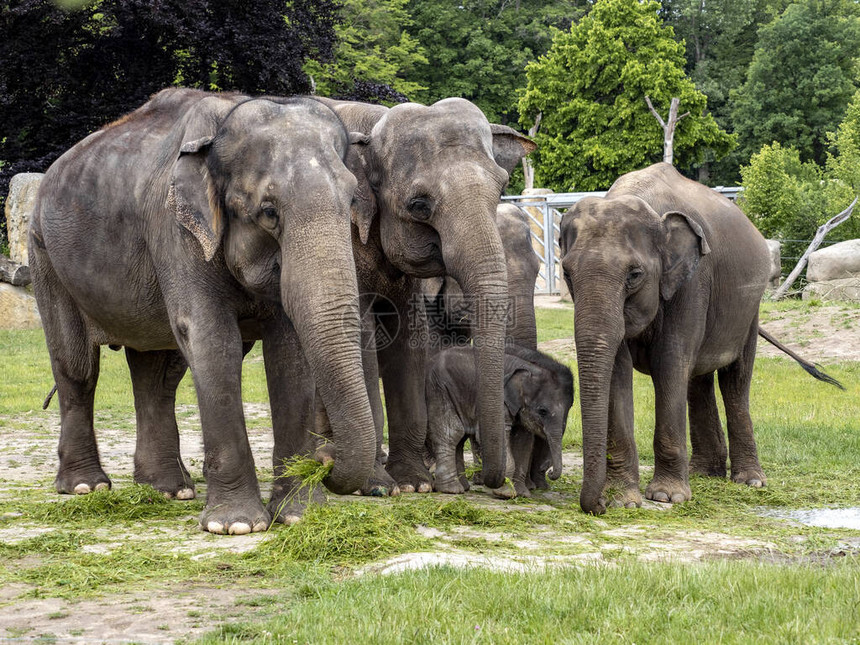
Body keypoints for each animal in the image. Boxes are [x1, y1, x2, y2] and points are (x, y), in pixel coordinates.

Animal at [29, 88, 376, 536]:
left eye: (351, 201)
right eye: (268, 212)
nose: (325, 463)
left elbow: (289, 350)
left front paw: (298, 516)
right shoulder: (176, 230)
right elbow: (213, 340)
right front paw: (236, 526)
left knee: (157, 374)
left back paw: (168, 490)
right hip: (45, 256)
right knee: (77, 367)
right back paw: (86, 487)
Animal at [286, 97, 536, 504]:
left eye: (501, 189)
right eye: (419, 205)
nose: (497, 485)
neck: (374, 121)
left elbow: (411, 342)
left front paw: (415, 483)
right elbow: (362, 338)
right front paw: (378, 485)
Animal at [426, 344, 576, 496]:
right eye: (543, 411)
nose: (550, 472)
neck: (531, 370)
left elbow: (523, 441)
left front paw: (520, 493)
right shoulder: (501, 402)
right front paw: (505, 494)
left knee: (460, 438)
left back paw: (463, 487)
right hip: (440, 389)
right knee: (452, 433)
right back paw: (452, 490)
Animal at [560, 162, 844, 512]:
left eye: (635, 275)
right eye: (566, 273)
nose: (596, 505)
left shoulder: (693, 281)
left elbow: (670, 362)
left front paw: (667, 497)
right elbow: (618, 368)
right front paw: (623, 501)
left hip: (749, 311)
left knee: (734, 382)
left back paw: (749, 481)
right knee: (698, 380)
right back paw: (704, 473)